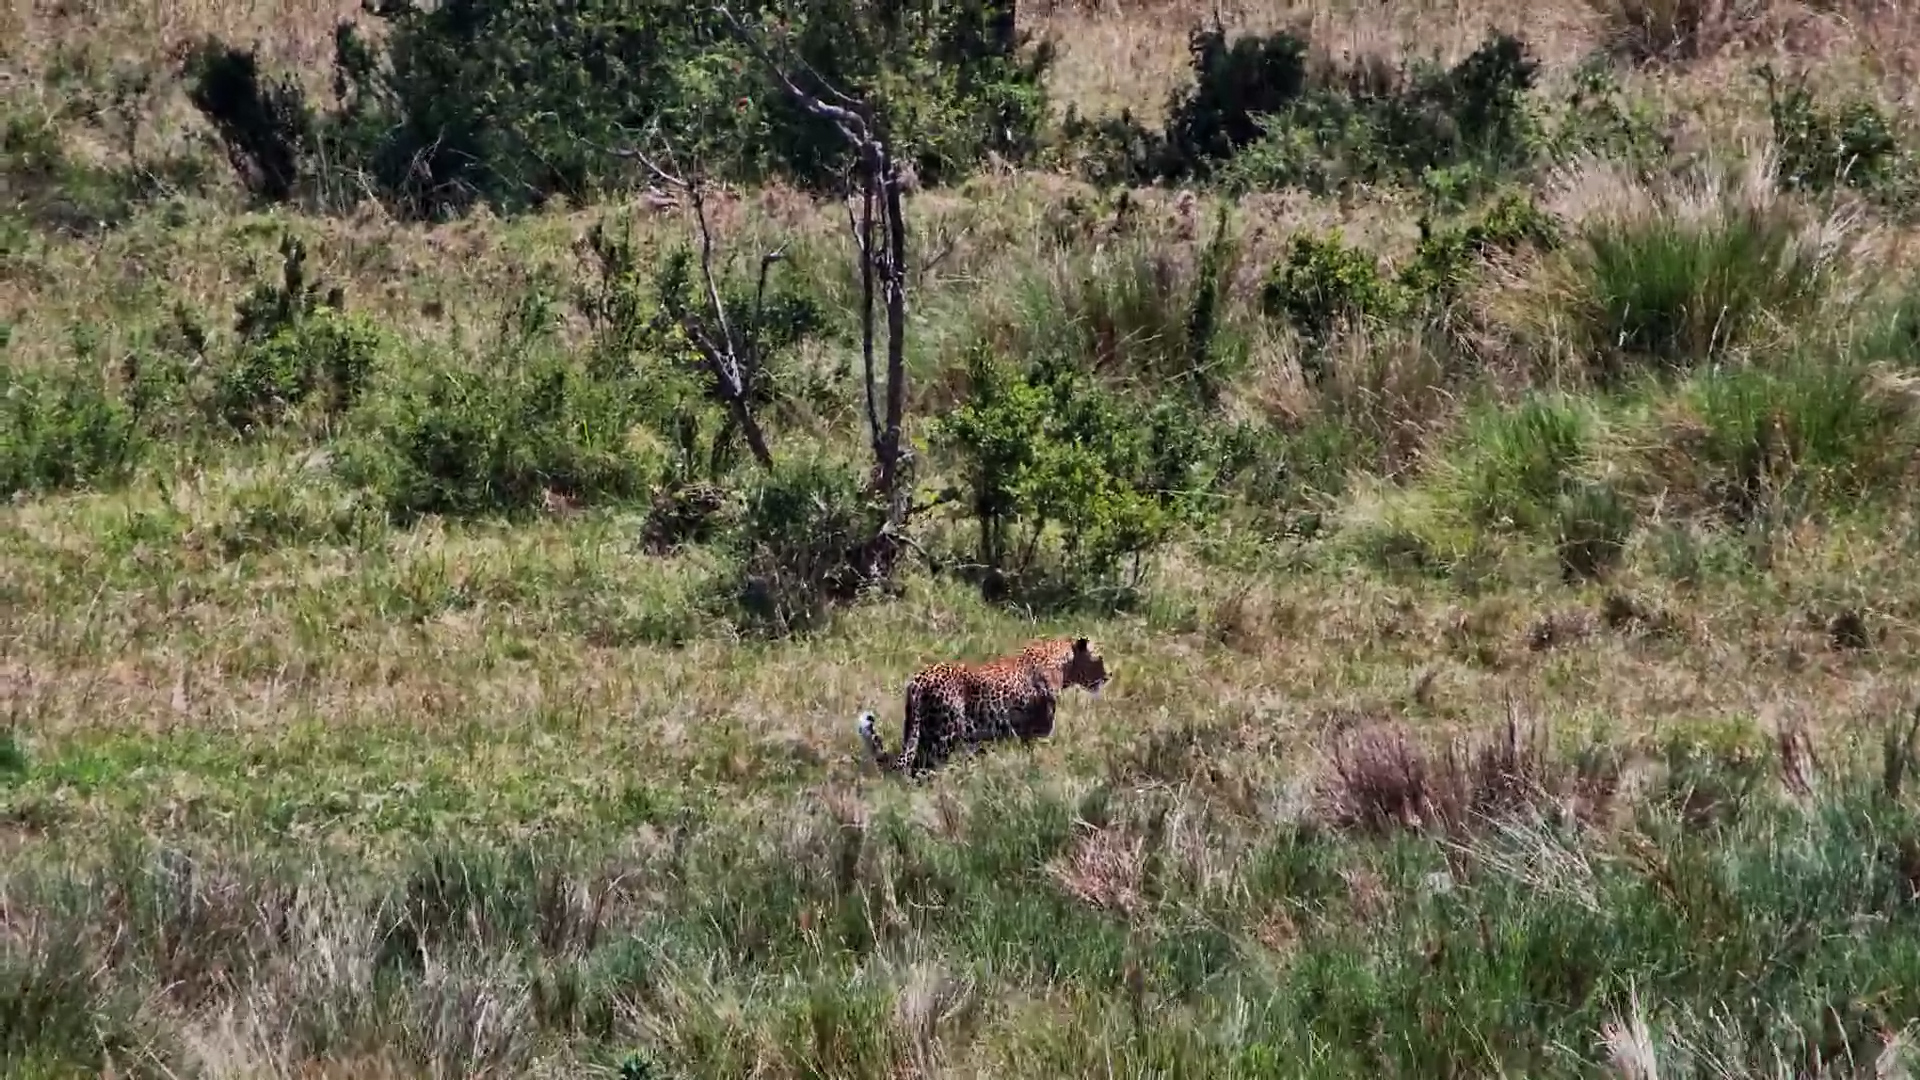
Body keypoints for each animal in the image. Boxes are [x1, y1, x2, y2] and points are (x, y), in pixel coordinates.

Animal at [855, 636, 1110, 778]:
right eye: (1099, 658)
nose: (1108, 676)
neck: (1062, 664)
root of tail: (917, 681)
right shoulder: (1036, 731)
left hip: (921, 731)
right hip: (943, 737)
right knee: (922, 769)